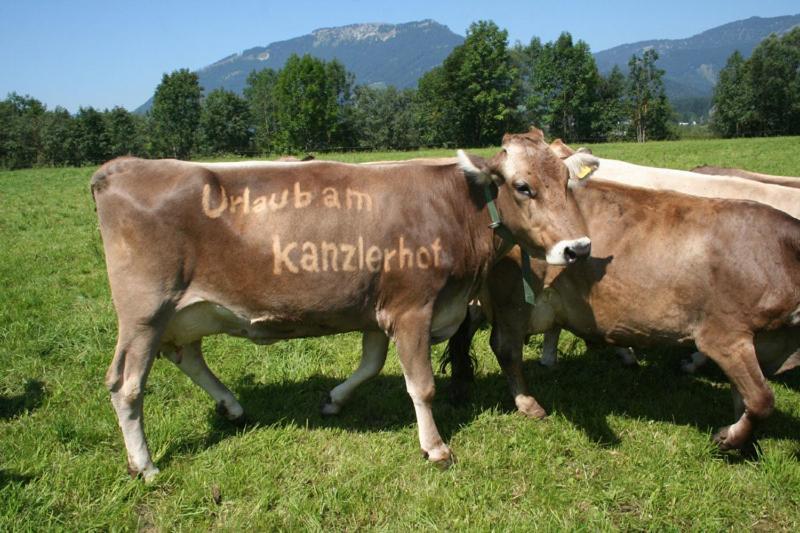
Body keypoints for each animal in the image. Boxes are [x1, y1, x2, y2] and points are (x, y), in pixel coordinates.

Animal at [92, 127, 592, 480]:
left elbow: (370, 365)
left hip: (186, 312)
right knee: (126, 386)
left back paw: (231, 406)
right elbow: (422, 385)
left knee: (188, 356)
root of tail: (120, 168)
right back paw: (145, 464)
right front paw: (434, 447)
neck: (455, 207)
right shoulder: (412, 308)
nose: (578, 248)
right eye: (523, 186)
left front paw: (333, 400)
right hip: (145, 312)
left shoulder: (377, 307)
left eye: (568, 180)